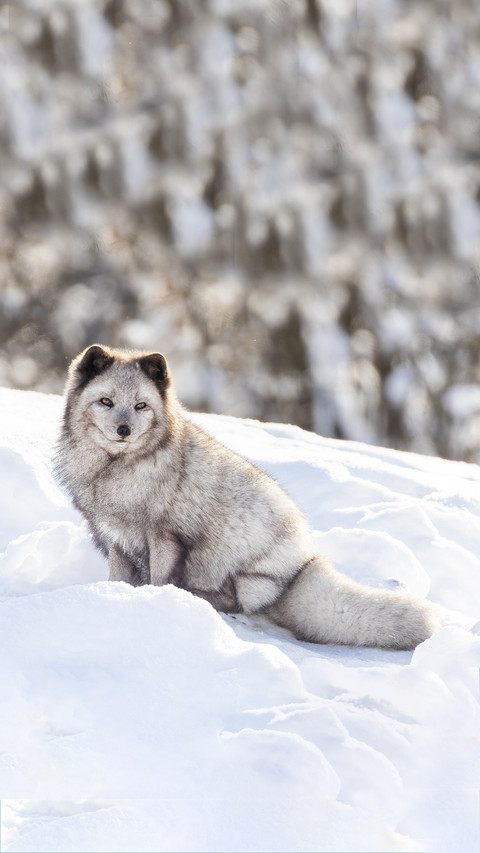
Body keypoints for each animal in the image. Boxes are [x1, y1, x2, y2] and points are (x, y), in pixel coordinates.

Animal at [54, 344, 442, 649]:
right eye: (106, 401)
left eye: (140, 406)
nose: (124, 430)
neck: (114, 471)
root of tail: (302, 567)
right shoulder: (116, 538)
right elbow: (118, 578)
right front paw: (112, 598)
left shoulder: (165, 536)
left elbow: (161, 579)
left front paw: (159, 602)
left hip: (234, 560)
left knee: (237, 601)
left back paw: (202, 597)